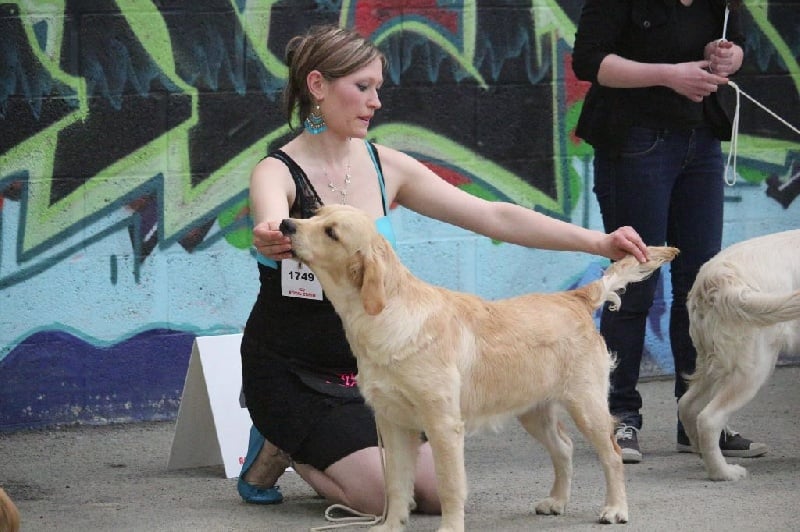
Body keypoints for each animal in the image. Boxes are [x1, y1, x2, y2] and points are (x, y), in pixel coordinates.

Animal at [280, 204, 678, 531]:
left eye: (331, 231)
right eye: (315, 214)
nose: (285, 224)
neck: (386, 316)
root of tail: (575, 297)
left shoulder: (442, 424)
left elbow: (449, 485)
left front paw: (449, 528)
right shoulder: (391, 422)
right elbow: (395, 484)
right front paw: (391, 526)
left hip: (587, 405)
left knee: (611, 455)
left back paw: (615, 509)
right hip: (534, 410)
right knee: (563, 448)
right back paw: (556, 501)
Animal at [678, 229, 800, 481]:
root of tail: (716, 279)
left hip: (714, 363)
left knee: (686, 405)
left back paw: (703, 455)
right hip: (754, 369)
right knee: (708, 419)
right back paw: (724, 473)